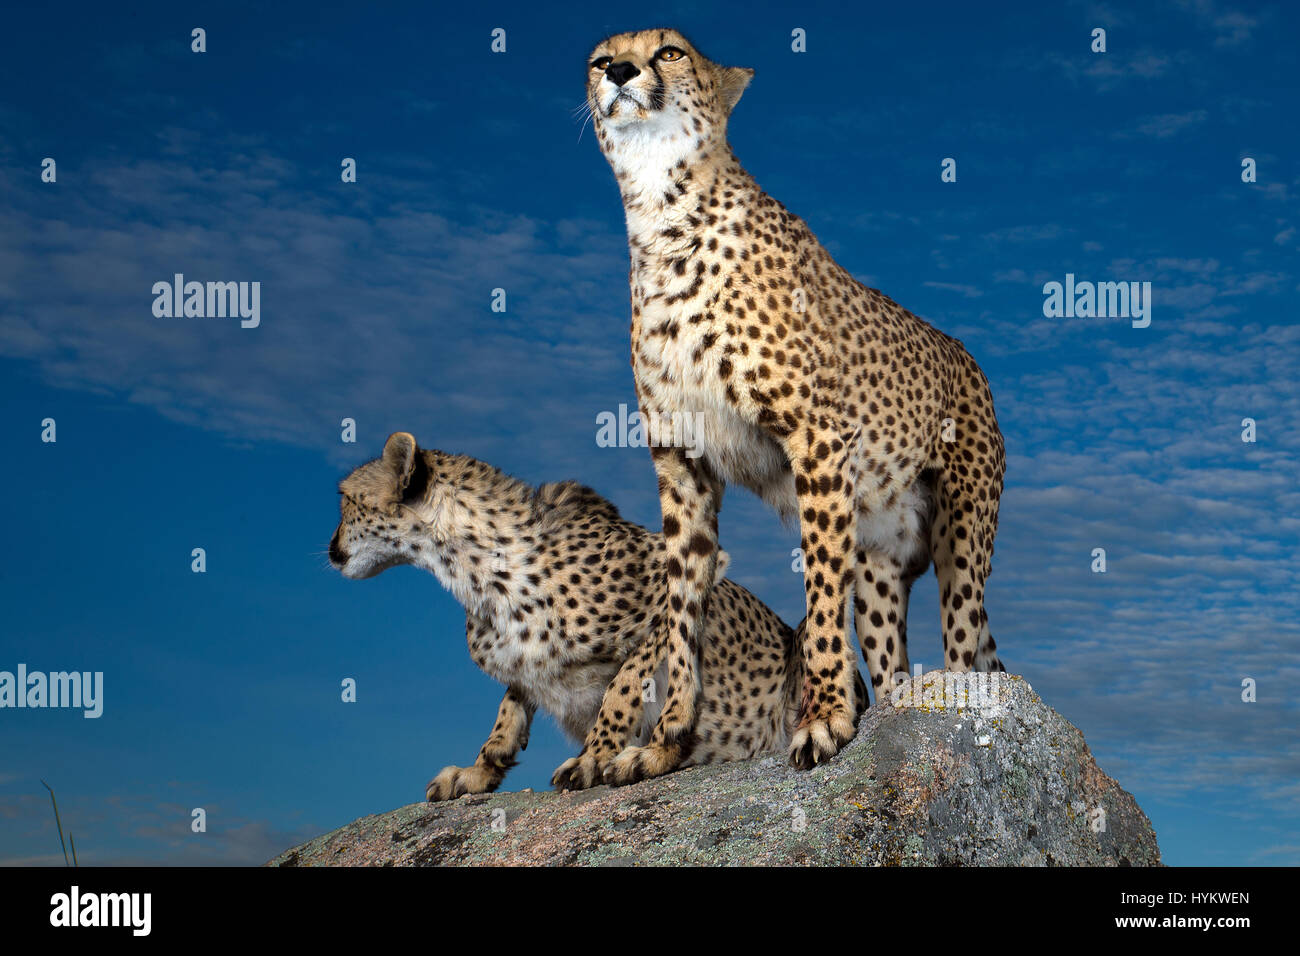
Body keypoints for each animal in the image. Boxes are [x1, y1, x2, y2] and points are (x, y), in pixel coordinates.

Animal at [330, 434, 868, 801]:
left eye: (346, 501)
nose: (332, 551)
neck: (474, 569)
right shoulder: (520, 661)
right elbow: (508, 711)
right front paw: (478, 772)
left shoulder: (688, 579)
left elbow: (625, 681)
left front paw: (595, 755)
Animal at [585, 29, 1008, 780]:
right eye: (601, 57)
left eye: (669, 51)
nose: (621, 72)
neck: (662, 216)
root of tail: (968, 356)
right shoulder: (681, 461)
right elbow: (680, 607)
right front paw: (666, 741)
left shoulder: (816, 438)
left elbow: (818, 596)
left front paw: (825, 719)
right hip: (879, 555)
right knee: (887, 655)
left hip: (963, 533)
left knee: (963, 639)